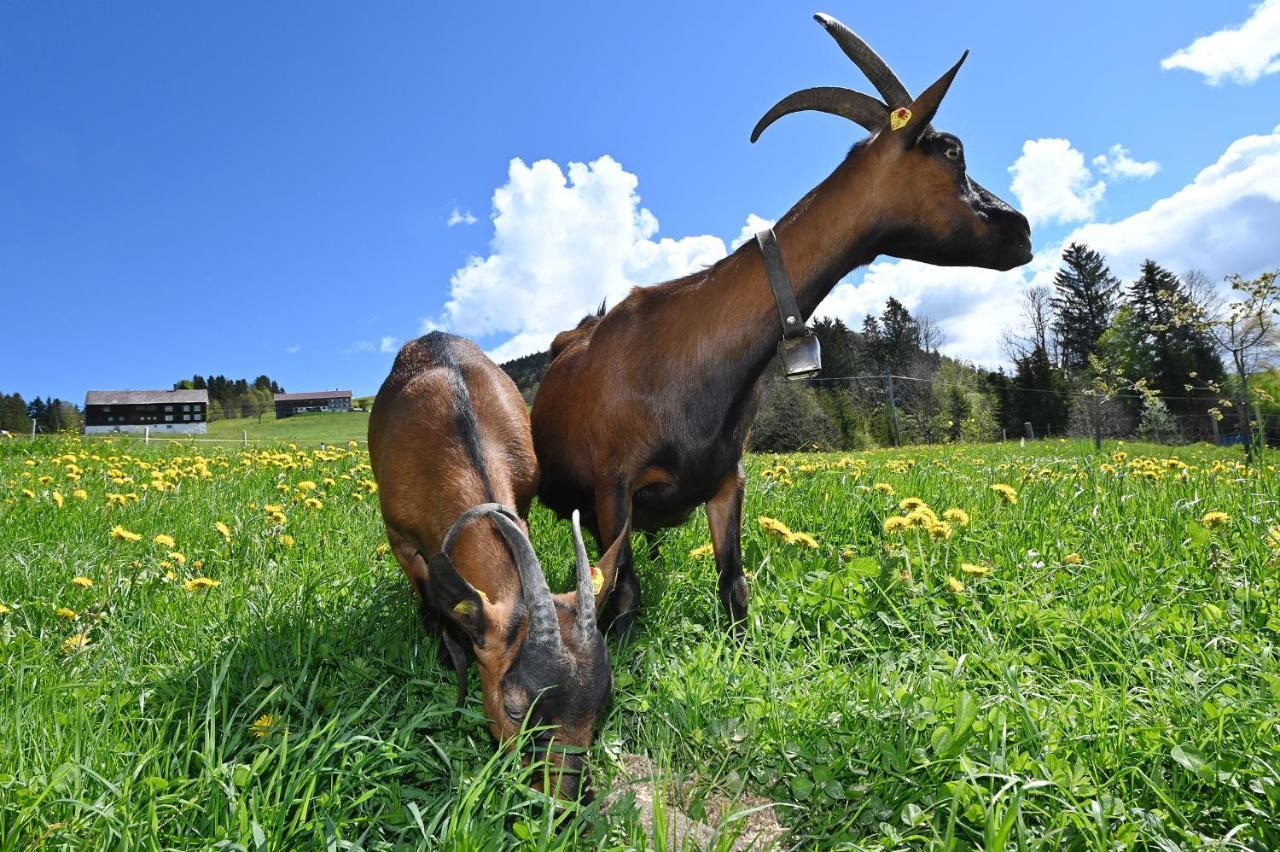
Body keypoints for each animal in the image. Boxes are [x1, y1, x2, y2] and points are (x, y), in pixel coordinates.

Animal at [368, 332, 627, 798]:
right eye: (513, 709)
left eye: (600, 707)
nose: (567, 800)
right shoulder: (399, 537)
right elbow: (433, 600)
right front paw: (448, 658)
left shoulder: (521, 503)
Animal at [527, 13, 1029, 637]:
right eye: (952, 152)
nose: (1022, 229)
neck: (688, 359)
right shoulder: (612, 488)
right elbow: (622, 594)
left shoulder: (727, 481)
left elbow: (734, 585)